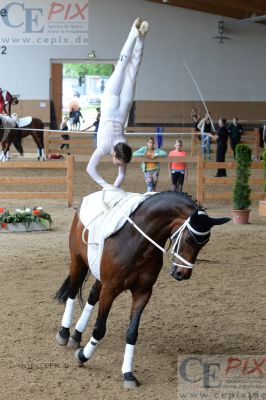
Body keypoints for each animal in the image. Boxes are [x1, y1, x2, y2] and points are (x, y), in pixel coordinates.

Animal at [55, 190, 230, 388]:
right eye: (187, 238)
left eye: (204, 243)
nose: (181, 274)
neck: (137, 242)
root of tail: (91, 196)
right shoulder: (110, 289)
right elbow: (99, 329)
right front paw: (83, 356)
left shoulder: (143, 292)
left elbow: (132, 333)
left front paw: (128, 374)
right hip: (78, 261)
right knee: (72, 291)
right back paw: (64, 333)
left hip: (99, 273)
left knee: (92, 295)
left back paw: (76, 335)